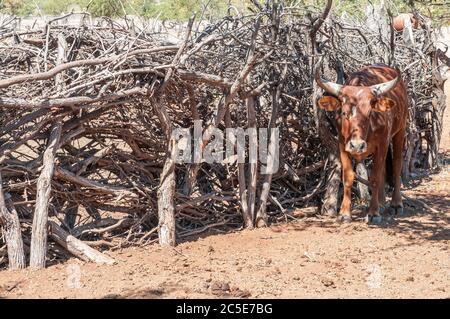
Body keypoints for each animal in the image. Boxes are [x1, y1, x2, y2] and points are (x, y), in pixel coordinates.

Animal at [316, 63, 408, 225]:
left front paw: (373, 213)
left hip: (400, 131)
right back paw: (382, 203)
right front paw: (344, 213)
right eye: (344, 113)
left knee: (397, 166)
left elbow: (375, 177)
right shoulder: (343, 145)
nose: (357, 145)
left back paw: (396, 204)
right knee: (384, 170)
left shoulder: (382, 144)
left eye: (370, 113)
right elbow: (348, 177)